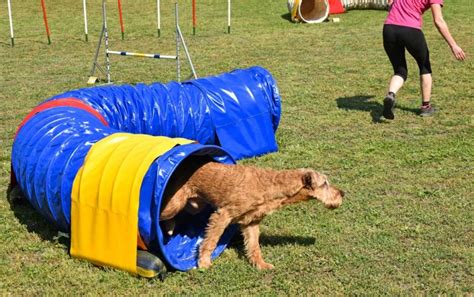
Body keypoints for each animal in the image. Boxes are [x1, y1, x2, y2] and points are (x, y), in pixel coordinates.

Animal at [160, 158, 344, 270]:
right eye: (324, 184)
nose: (343, 193)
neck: (271, 186)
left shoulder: (251, 223)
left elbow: (254, 246)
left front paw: (261, 265)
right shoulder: (223, 215)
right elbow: (210, 241)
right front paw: (204, 263)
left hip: (195, 204)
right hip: (175, 203)